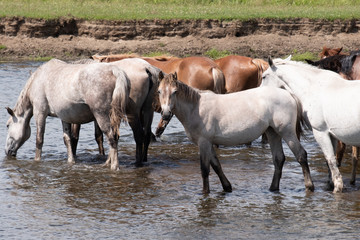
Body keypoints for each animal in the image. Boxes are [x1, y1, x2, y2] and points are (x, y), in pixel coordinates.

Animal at [157, 72, 312, 194]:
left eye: (175, 91)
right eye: (159, 91)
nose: (166, 114)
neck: (196, 108)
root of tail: (289, 94)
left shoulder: (204, 142)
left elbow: (205, 169)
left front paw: (205, 192)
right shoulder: (209, 143)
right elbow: (216, 166)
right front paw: (227, 187)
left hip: (287, 132)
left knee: (301, 155)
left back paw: (309, 186)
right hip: (272, 132)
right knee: (278, 159)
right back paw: (273, 188)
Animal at [260, 56, 360, 193]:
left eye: (264, 76)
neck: (314, 89)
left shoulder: (320, 132)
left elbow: (330, 159)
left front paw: (337, 187)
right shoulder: (332, 135)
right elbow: (331, 161)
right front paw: (330, 184)